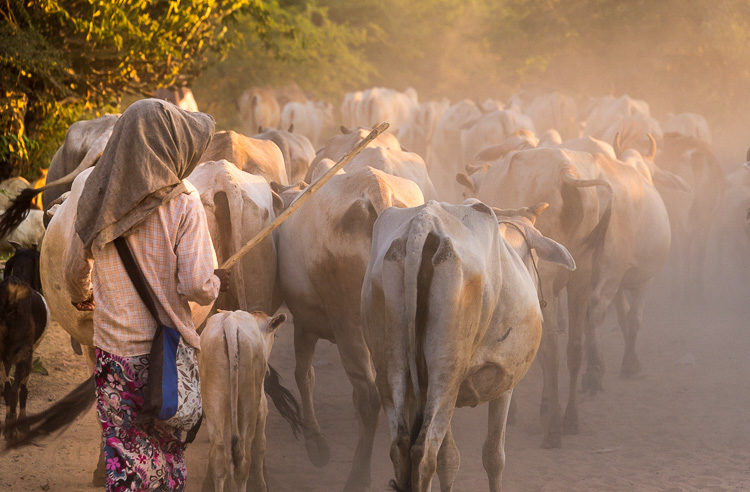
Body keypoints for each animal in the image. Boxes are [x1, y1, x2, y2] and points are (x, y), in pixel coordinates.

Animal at [199, 310, 288, 492]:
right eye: (274, 335)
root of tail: (230, 321)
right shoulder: (262, 410)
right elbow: (260, 445)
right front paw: (262, 485)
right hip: (249, 403)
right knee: (244, 459)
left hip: (214, 400)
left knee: (220, 455)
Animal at [276, 166, 424, 491]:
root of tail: (377, 191)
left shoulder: (304, 324)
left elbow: (304, 375)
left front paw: (316, 444)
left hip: (349, 324)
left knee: (369, 396)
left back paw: (358, 475)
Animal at [361, 199, 575, 492]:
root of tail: (423, 223)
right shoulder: (505, 381)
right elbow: (493, 456)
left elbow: (449, 460)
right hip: (447, 371)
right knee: (424, 453)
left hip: (392, 367)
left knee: (402, 448)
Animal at [456, 147, 613, 448]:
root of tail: (566, 173)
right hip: (581, 275)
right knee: (574, 347)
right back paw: (569, 417)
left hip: (548, 279)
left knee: (551, 349)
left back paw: (554, 427)